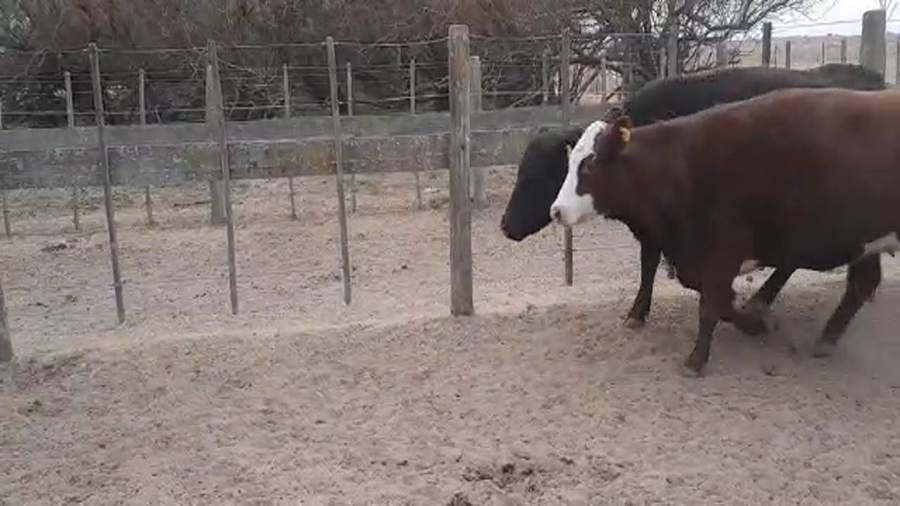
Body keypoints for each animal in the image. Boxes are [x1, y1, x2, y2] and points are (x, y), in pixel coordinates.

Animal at [548, 86, 900, 376]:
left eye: (589, 165)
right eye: (571, 163)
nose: (556, 210)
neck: (680, 167)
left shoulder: (723, 251)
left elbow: (710, 304)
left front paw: (697, 359)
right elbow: (713, 297)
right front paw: (755, 322)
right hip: (865, 241)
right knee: (863, 284)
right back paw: (825, 337)